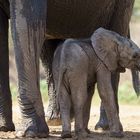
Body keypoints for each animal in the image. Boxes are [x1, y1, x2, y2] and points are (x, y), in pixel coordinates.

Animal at [7, 0, 139, 138]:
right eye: (135, 56)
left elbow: (92, 91)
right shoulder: (100, 64)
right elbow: (101, 91)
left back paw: (77, 132)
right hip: (74, 70)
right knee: (77, 96)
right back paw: (76, 132)